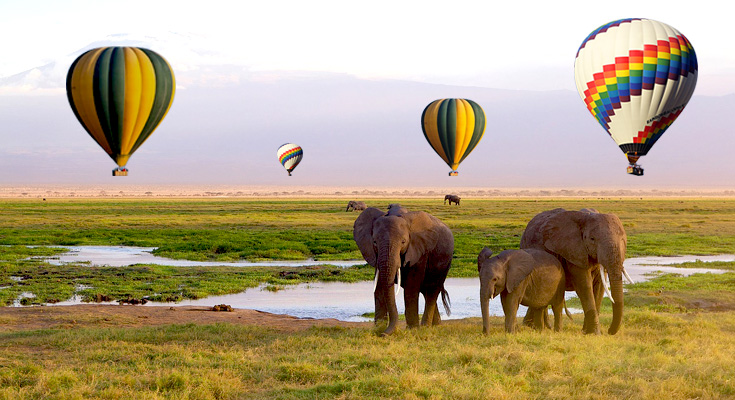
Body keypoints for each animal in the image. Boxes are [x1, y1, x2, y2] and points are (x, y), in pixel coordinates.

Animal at [352, 206, 452, 334]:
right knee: (426, 291)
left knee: (432, 291)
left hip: (444, 264)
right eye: (374, 242)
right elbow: (379, 287)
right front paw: (378, 328)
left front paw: (412, 330)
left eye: (403, 242)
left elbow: (411, 288)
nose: (383, 334)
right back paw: (436, 325)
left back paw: (426, 327)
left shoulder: (419, 251)